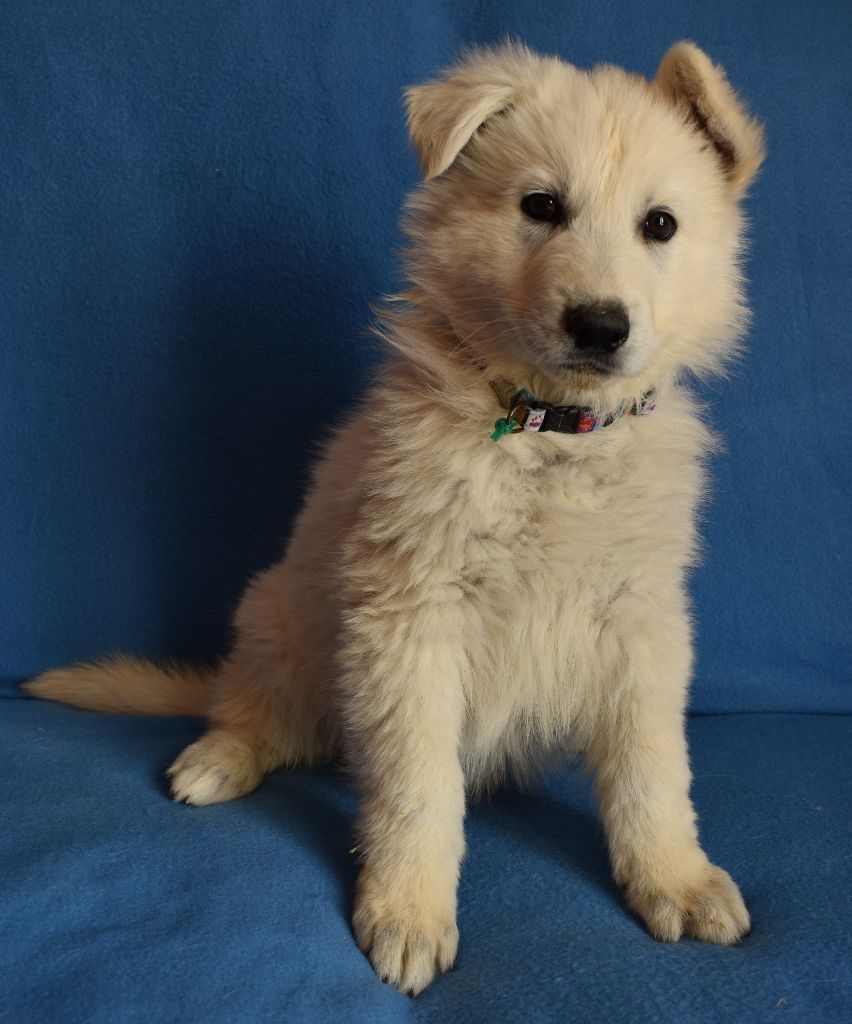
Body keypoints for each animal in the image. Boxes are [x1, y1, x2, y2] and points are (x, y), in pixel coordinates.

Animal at [26, 41, 765, 996]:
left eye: (661, 225)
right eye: (541, 206)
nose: (600, 325)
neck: (547, 435)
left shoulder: (642, 621)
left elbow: (651, 770)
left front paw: (674, 877)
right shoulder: (409, 618)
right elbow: (418, 787)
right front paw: (408, 912)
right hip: (280, 620)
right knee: (255, 711)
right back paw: (218, 757)